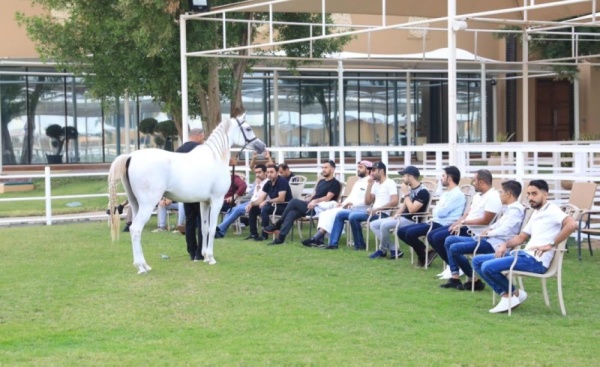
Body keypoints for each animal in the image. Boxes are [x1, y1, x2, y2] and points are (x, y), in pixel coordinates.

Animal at [107, 113, 264, 274]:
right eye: (248, 128)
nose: (262, 146)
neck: (215, 157)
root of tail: (131, 157)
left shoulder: (204, 202)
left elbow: (204, 228)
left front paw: (204, 256)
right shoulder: (217, 200)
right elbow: (212, 228)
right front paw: (211, 257)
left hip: (135, 203)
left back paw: (144, 265)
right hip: (148, 204)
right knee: (136, 229)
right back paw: (141, 267)